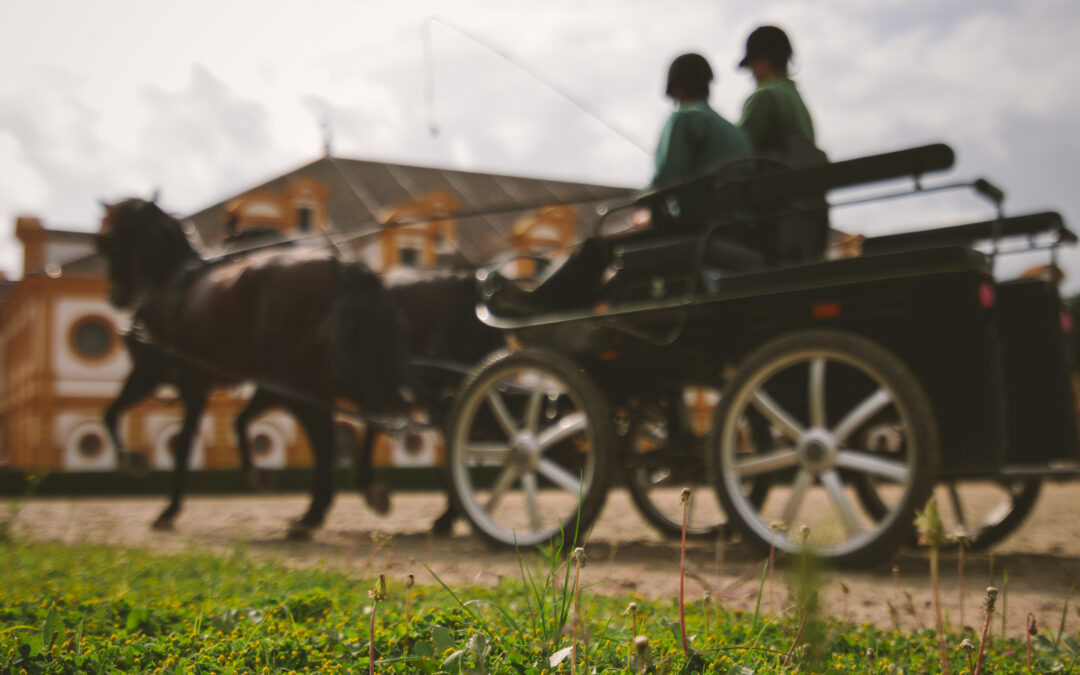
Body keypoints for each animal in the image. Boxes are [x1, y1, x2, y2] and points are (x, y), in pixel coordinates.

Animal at [98, 197, 408, 533]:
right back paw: (342, 497)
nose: (116, 296)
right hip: (324, 376)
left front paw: (154, 489)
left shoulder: (164, 374)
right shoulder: (216, 382)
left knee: (328, 431)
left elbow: (161, 435)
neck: (171, 282)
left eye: (105, 240)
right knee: (364, 415)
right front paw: (253, 473)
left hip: (297, 379)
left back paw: (317, 510)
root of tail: (338, 266)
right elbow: (229, 424)